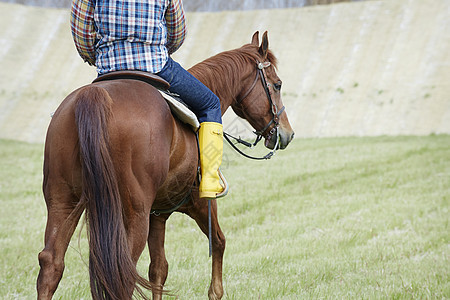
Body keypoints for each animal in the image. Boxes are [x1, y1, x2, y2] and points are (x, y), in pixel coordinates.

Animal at [36, 31, 296, 300]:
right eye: (277, 84)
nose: (287, 133)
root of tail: (95, 97)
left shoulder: (158, 215)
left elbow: (158, 269)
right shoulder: (201, 203)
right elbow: (219, 242)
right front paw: (215, 291)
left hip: (63, 201)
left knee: (52, 264)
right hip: (133, 214)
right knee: (124, 272)